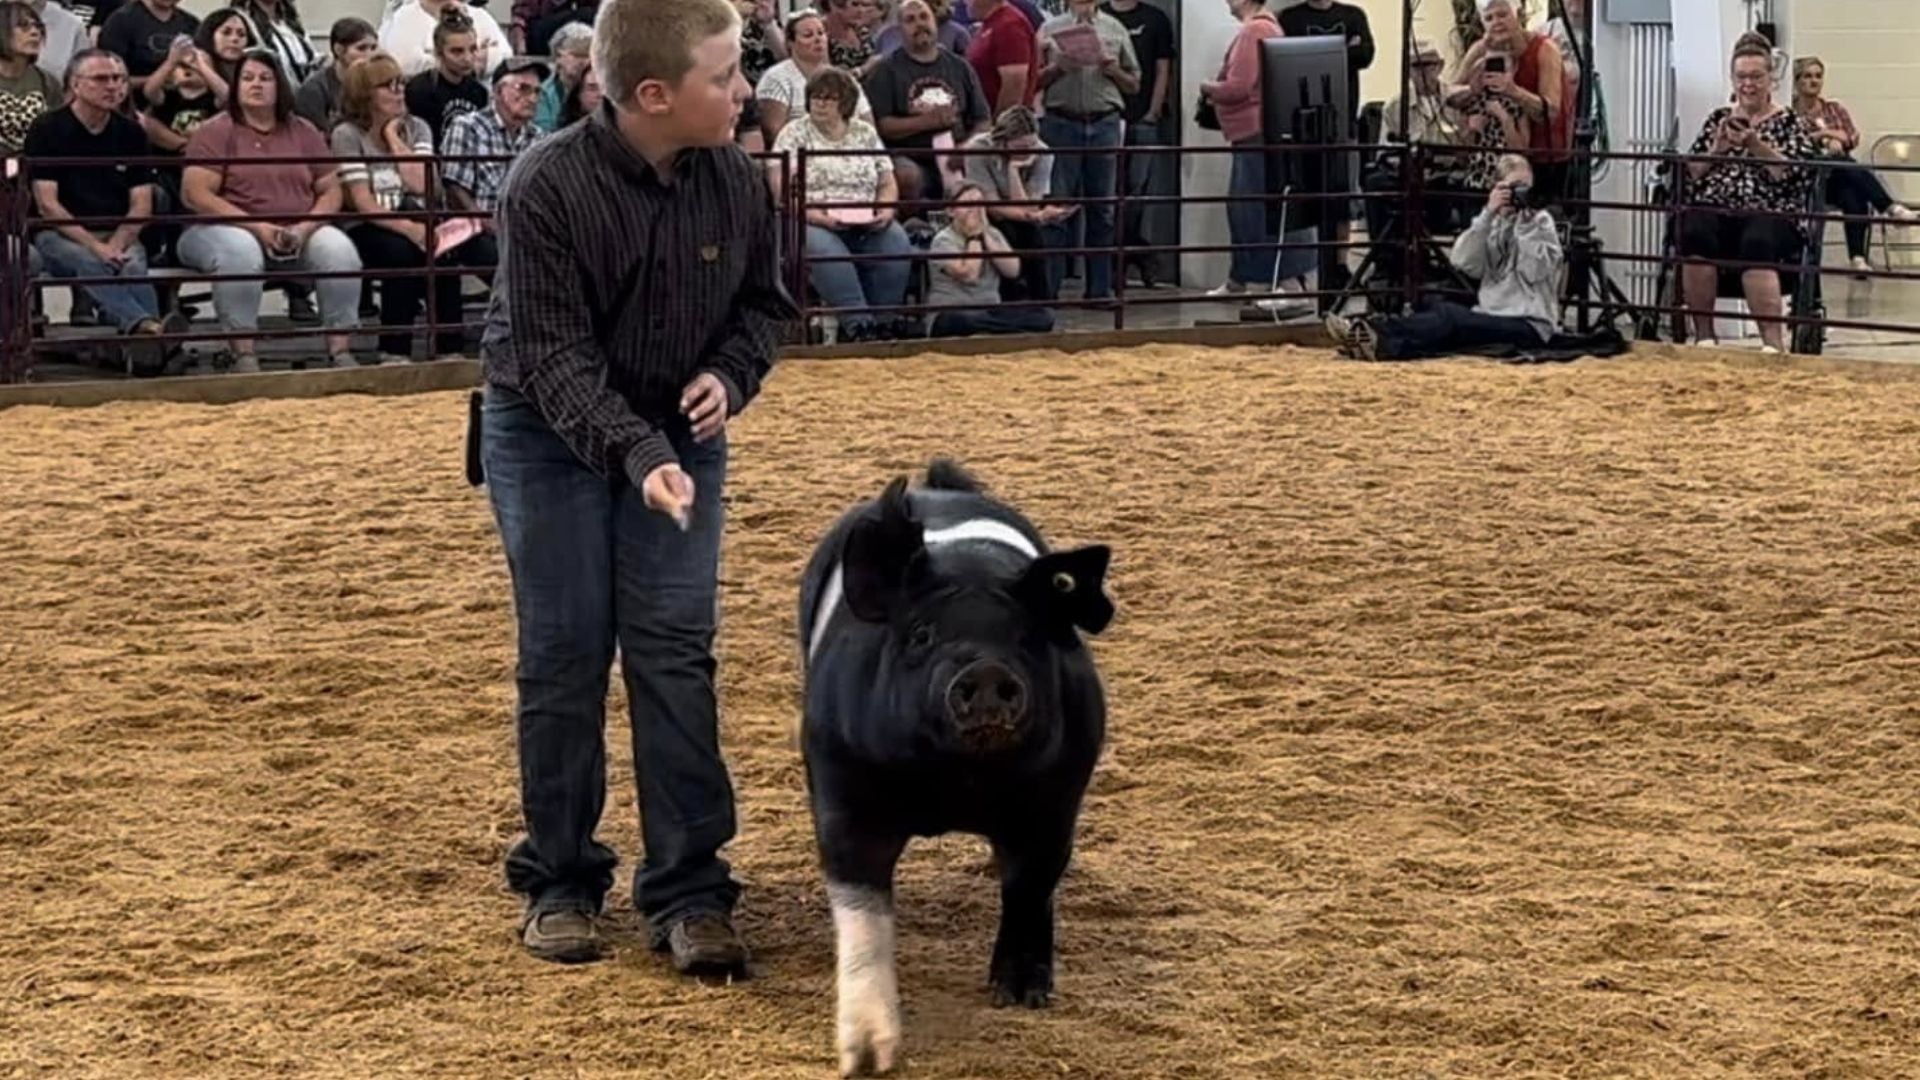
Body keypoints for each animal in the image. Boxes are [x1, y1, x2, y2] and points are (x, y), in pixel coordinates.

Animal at [795, 458, 1115, 1077]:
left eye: (1027, 637)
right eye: (922, 633)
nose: (987, 670)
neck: (955, 783)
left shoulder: (1056, 801)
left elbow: (1029, 886)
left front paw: (1019, 998)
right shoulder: (842, 793)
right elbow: (863, 914)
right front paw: (865, 1057)